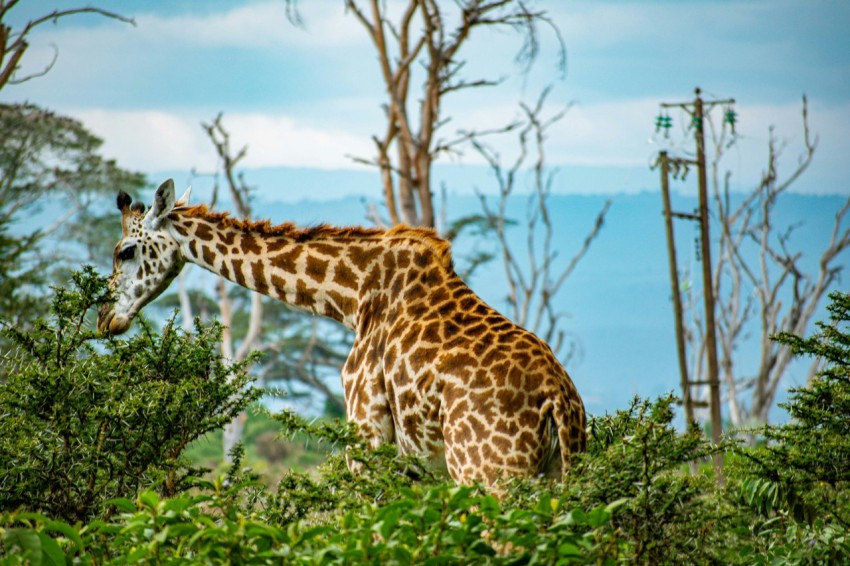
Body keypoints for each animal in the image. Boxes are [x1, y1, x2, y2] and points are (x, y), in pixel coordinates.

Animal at [98, 179, 587, 485]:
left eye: (125, 251)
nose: (104, 319)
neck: (352, 297)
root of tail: (559, 400)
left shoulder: (366, 425)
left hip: (488, 471)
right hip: (557, 474)